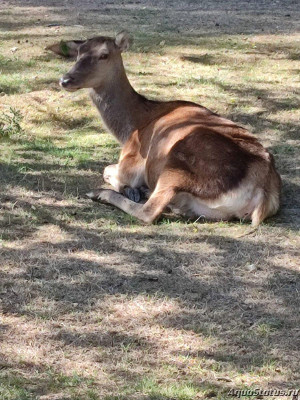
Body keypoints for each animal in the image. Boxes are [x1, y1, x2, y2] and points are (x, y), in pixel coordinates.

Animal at [54, 31, 282, 225]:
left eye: (104, 55)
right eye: (79, 53)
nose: (65, 79)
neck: (132, 127)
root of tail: (263, 195)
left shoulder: (131, 161)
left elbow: (109, 170)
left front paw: (131, 189)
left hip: (177, 166)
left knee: (149, 211)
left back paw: (102, 194)